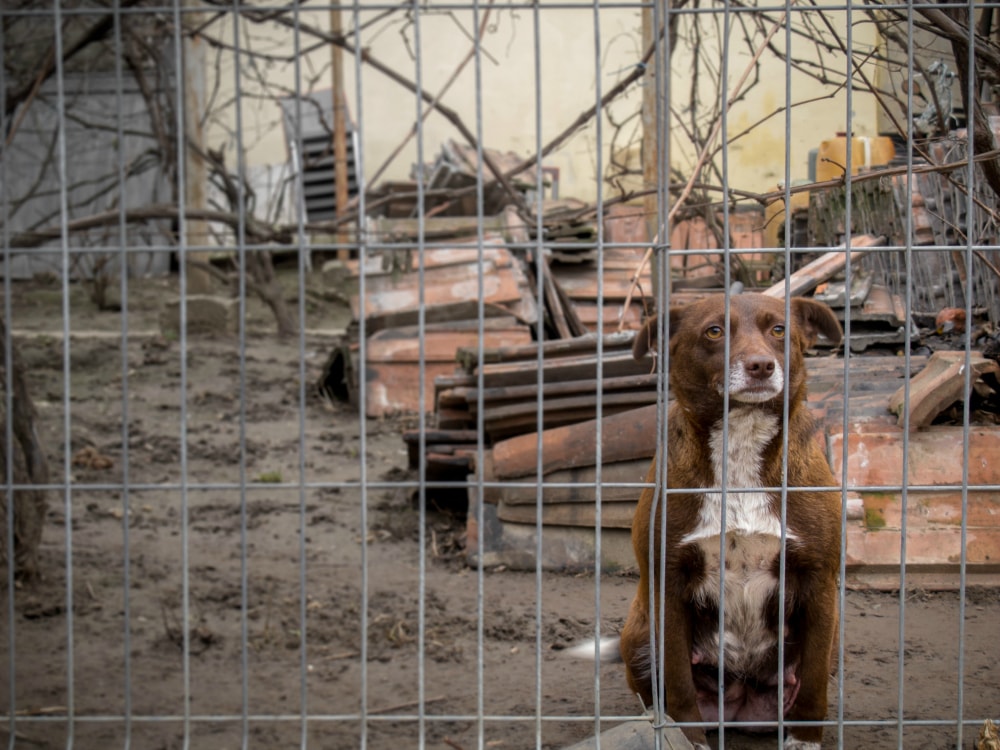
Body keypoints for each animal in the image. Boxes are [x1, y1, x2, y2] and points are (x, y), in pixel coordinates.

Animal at [624, 294, 844, 750]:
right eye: (714, 331)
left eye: (779, 330)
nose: (761, 365)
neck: (741, 440)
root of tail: (739, 702)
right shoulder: (667, 583)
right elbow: (678, 684)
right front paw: (685, 739)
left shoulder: (819, 582)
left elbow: (814, 683)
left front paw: (804, 739)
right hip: (636, 631)